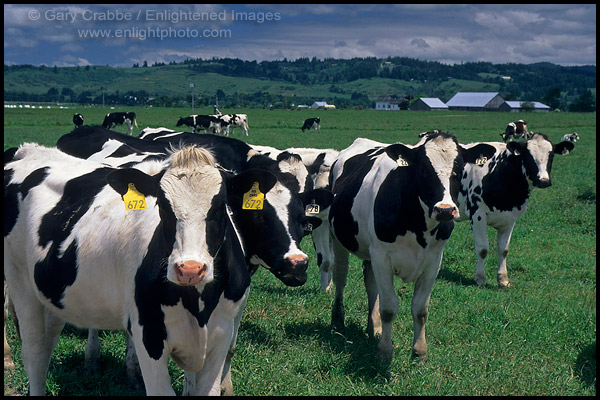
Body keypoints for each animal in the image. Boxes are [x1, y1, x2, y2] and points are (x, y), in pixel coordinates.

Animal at [4, 143, 262, 394]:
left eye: (220, 206)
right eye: (163, 206)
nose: (189, 269)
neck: (197, 306)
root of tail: (31, 150)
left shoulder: (221, 334)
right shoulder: (148, 333)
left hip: (53, 296)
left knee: (48, 343)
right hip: (20, 283)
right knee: (35, 354)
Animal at [326, 132, 490, 362]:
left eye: (459, 170)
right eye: (423, 170)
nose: (445, 210)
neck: (419, 227)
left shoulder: (433, 260)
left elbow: (420, 309)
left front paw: (419, 351)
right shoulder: (382, 256)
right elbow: (388, 308)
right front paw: (385, 351)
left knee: (370, 283)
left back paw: (374, 326)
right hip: (338, 238)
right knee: (341, 277)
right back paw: (338, 319)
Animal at [458, 134, 576, 288]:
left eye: (551, 155)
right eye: (528, 156)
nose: (543, 181)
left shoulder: (510, 218)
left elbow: (503, 250)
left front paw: (503, 280)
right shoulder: (477, 215)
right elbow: (482, 249)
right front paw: (480, 279)